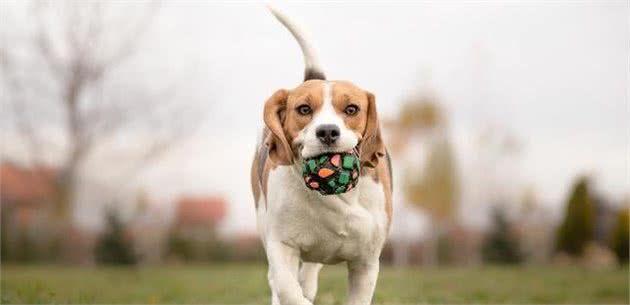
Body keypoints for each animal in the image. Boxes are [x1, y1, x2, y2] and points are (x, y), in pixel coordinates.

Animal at [251, 6, 390, 304]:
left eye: (351, 109)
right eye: (304, 109)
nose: (327, 131)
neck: (334, 199)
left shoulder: (366, 261)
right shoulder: (281, 244)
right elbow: (287, 288)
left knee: (311, 270)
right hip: (263, 220)